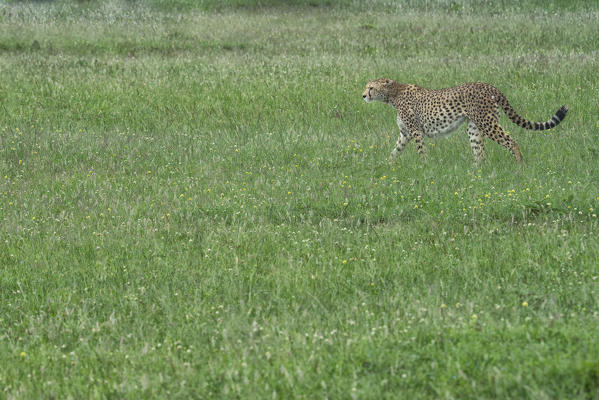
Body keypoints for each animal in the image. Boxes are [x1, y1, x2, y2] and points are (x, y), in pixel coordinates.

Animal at [364, 79, 568, 162]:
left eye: (371, 87)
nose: (363, 95)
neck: (393, 94)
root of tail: (488, 85)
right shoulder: (405, 134)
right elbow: (395, 151)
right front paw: (387, 165)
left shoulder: (415, 131)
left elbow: (421, 151)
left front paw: (424, 166)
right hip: (474, 127)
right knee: (480, 153)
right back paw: (475, 173)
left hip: (487, 122)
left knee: (511, 141)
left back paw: (520, 166)